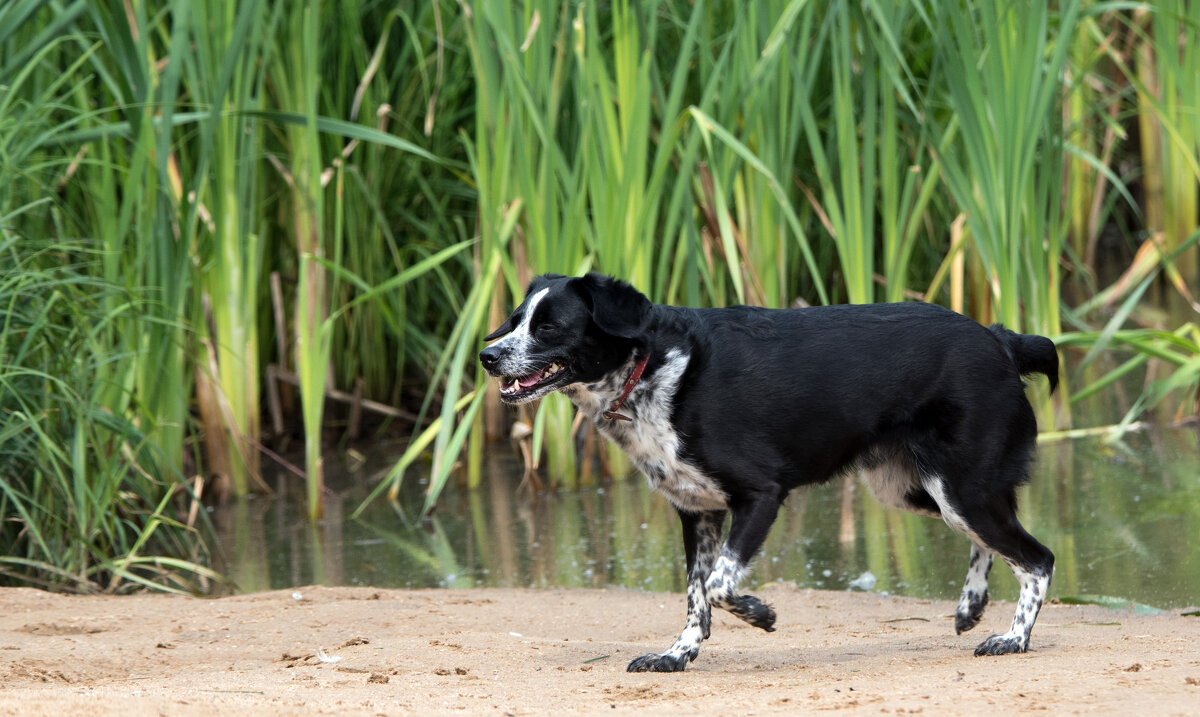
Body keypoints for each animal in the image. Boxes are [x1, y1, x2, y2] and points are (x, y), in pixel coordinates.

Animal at [477, 274, 1060, 676]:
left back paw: (1013, 639)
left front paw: (760, 614)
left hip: (960, 489)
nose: (485, 355)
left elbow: (718, 584)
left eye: (548, 327)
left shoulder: (761, 495)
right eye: (515, 318)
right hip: (915, 489)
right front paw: (677, 655)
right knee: (994, 544)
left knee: (1038, 558)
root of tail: (1001, 338)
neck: (653, 368)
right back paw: (971, 606)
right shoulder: (697, 511)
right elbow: (695, 596)